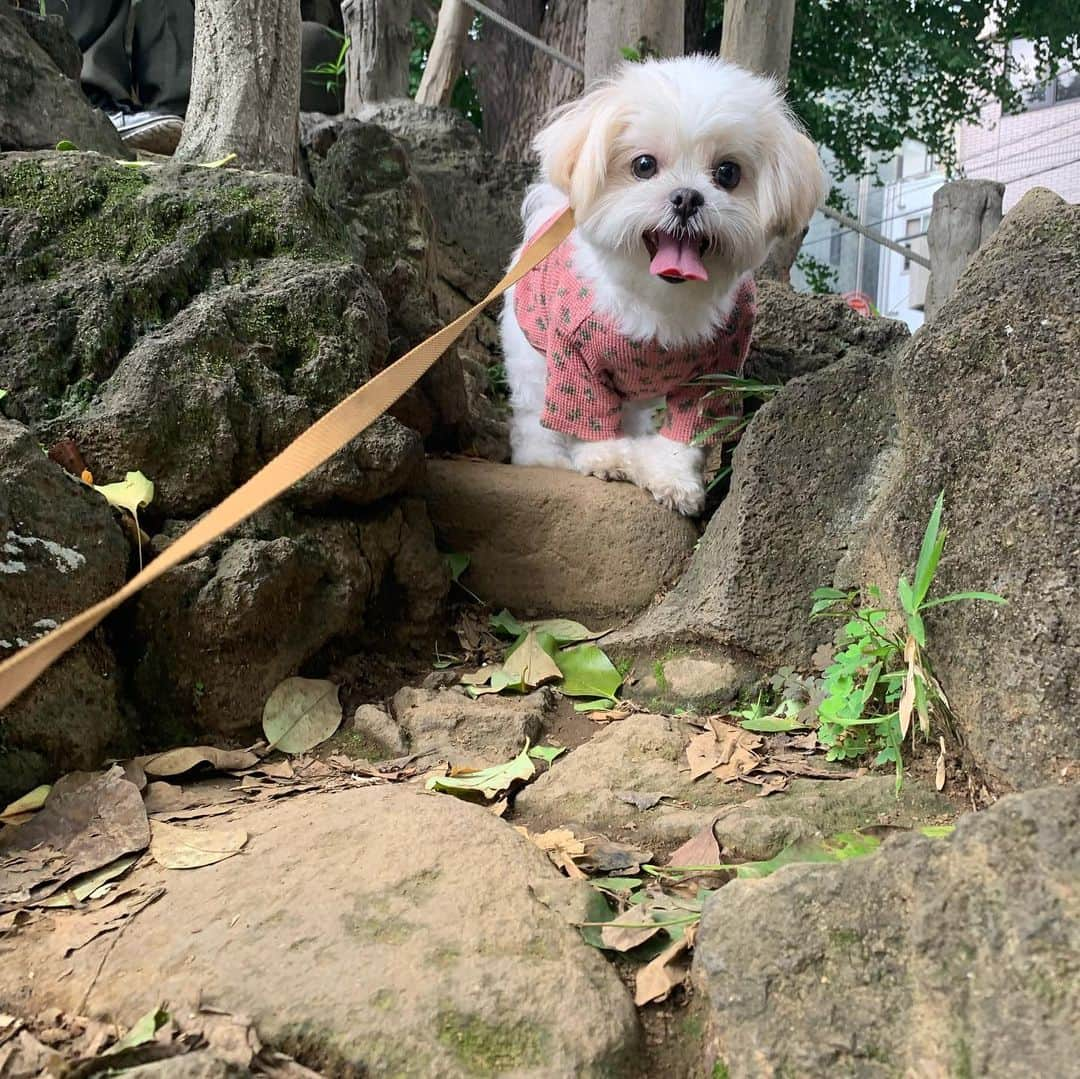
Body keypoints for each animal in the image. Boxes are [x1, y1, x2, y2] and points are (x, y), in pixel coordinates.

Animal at [498, 56, 825, 516]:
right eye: (644, 165)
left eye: (728, 172)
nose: (687, 197)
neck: (661, 299)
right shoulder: (573, 356)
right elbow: (587, 412)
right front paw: (605, 456)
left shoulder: (715, 368)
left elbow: (690, 429)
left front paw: (672, 478)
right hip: (532, 352)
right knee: (534, 408)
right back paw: (544, 456)